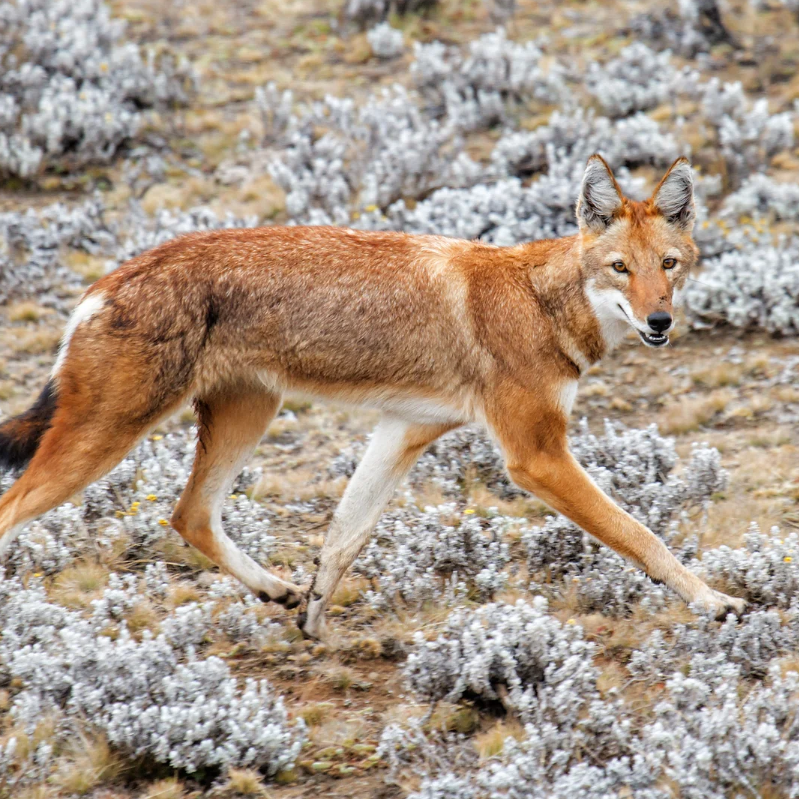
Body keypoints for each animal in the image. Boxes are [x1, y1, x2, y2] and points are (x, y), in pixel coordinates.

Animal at [0, 158, 748, 636]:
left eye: (668, 265)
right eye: (620, 268)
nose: (660, 321)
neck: (541, 302)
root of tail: (108, 281)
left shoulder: (402, 431)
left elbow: (344, 537)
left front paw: (314, 623)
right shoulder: (535, 457)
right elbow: (641, 534)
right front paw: (714, 602)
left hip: (248, 416)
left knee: (189, 515)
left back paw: (276, 589)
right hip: (103, 443)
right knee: (22, 510)